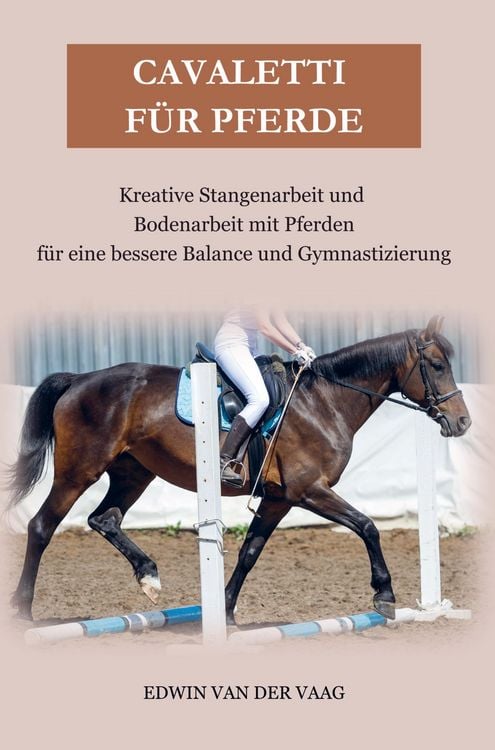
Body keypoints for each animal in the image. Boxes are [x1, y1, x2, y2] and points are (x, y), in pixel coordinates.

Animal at [8, 316, 471, 622]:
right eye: (436, 365)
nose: (463, 422)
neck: (324, 401)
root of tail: (79, 379)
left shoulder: (279, 499)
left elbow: (250, 552)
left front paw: (226, 611)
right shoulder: (309, 490)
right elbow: (368, 526)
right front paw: (385, 594)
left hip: (133, 473)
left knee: (104, 519)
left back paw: (149, 577)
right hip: (78, 471)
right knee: (42, 526)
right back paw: (23, 609)